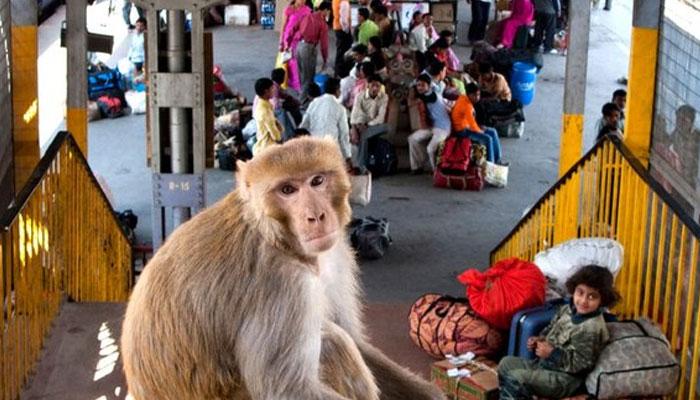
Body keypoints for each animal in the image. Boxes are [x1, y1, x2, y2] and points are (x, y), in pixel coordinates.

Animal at [121, 138, 446, 400]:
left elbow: (354, 337)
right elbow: (287, 389)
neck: (278, 237)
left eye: (317, 181)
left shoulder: (335, 253)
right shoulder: (279, 283)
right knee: (331, 342)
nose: (316, 216)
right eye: (287, 190)